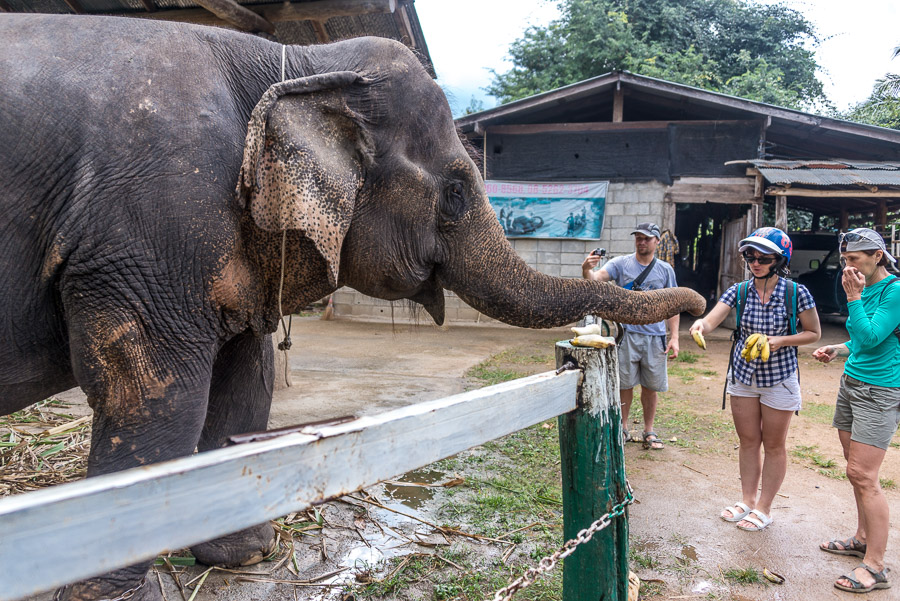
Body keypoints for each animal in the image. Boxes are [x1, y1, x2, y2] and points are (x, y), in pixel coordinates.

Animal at [0, 14, 704, 600]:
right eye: (455, 192)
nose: (694, 304)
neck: (295, 64)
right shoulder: (147, 230)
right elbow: (153, 394)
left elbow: (245, 372)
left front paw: (245, 556)